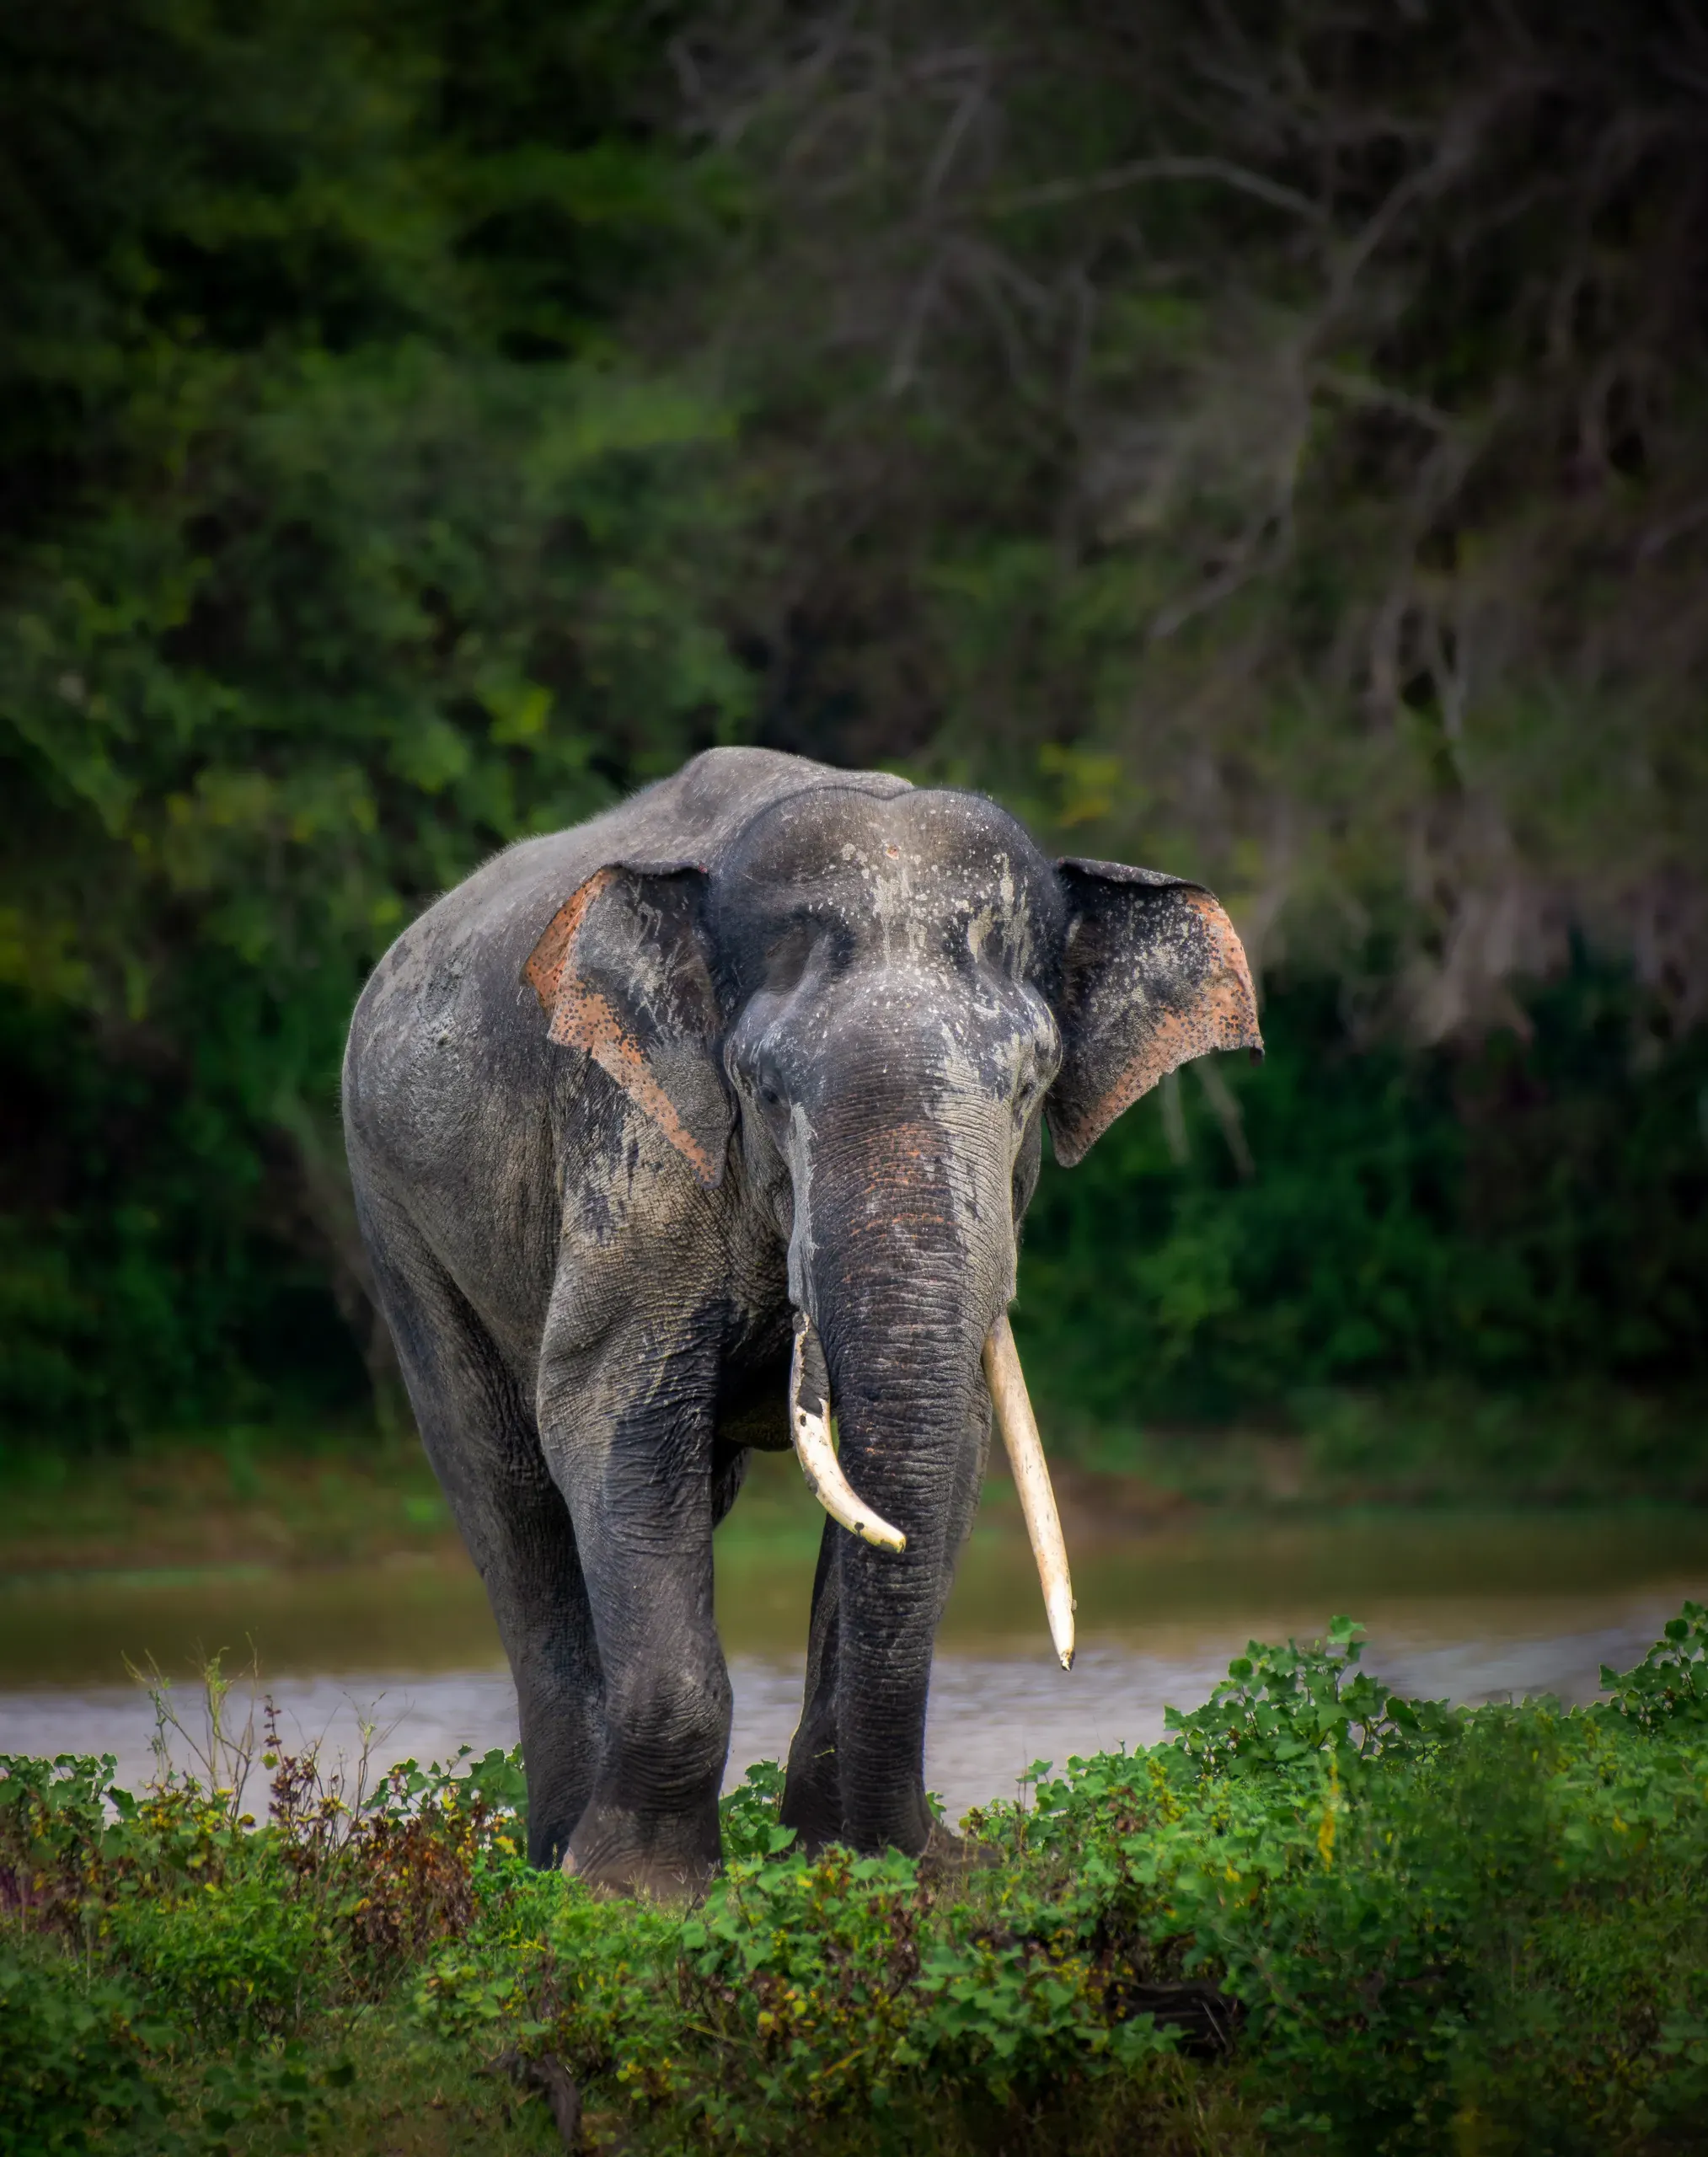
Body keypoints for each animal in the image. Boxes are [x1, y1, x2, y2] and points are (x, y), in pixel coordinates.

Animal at [342, 747, 1260, 1895]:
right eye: (766, 1088)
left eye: (1027, 1085)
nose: (908, 1846)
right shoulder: (635, 1139)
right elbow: (610, 1406)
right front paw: (639, 1894)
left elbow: (950, 1446)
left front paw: (865, 1865)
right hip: (397, 1220)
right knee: (506, 1493)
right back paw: (553, 1860)